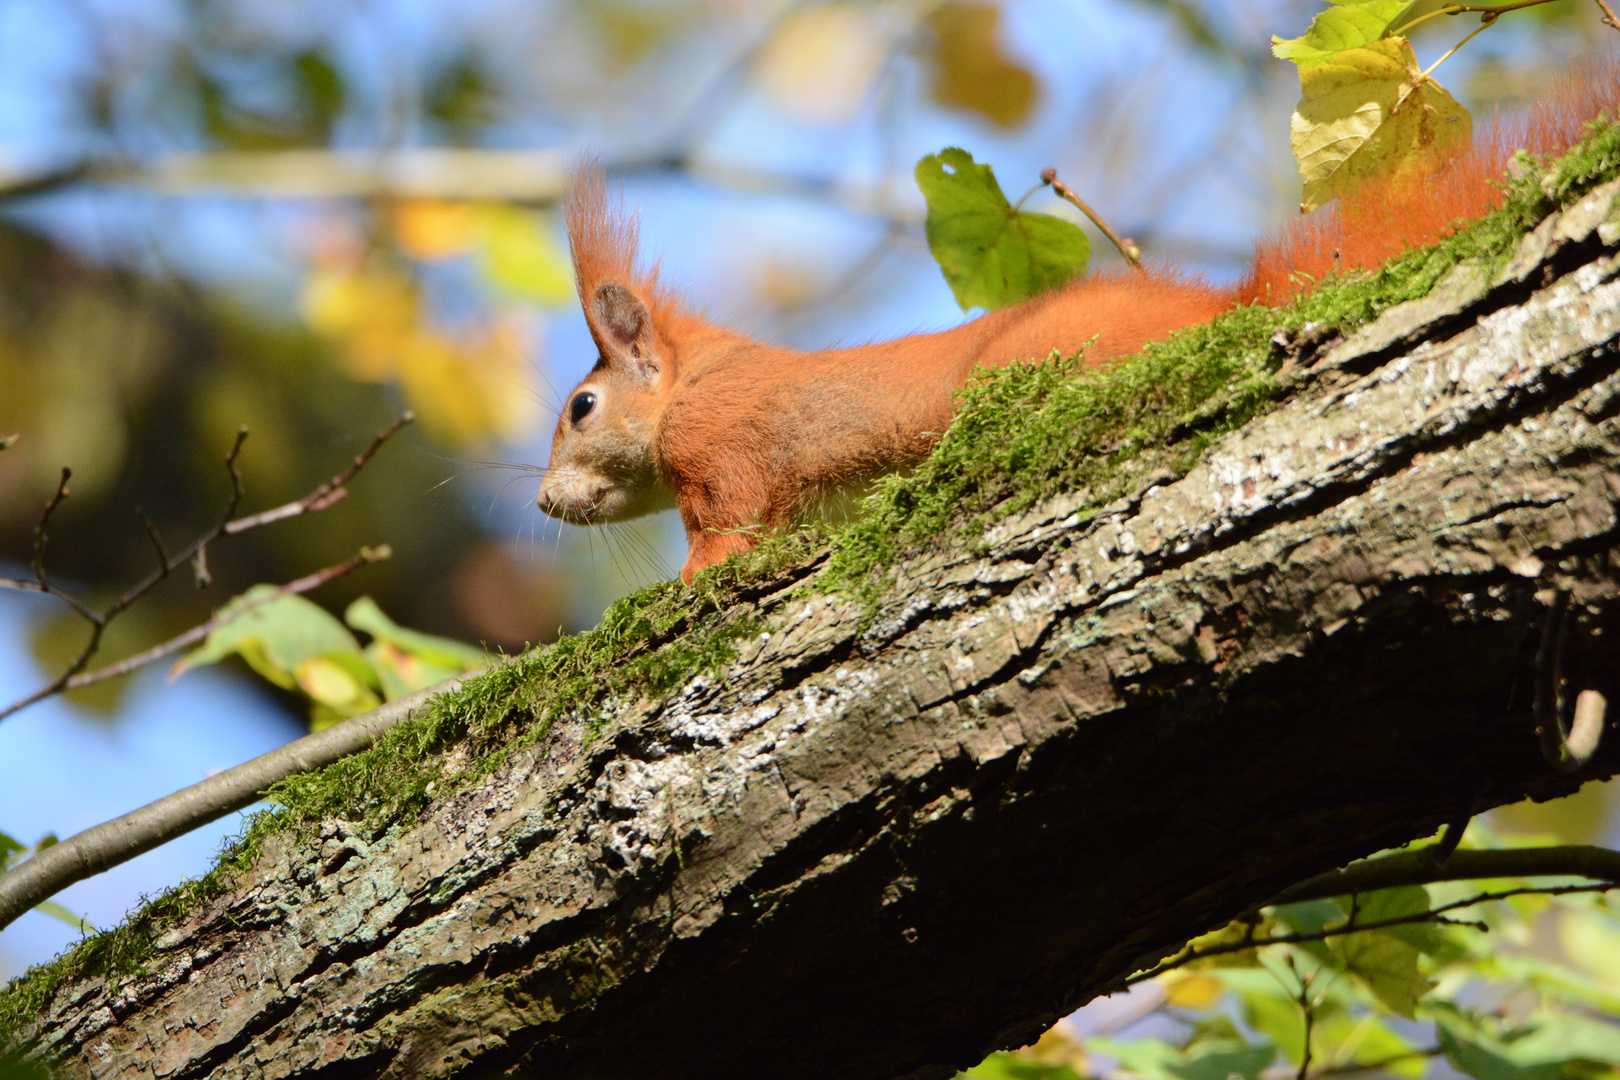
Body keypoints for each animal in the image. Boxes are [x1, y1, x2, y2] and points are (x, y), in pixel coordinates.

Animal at [537, 71, 1613, 586]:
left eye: (583, 406)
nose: (545, 503)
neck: (695, 380)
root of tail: (1222, 311)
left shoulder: (722, 450)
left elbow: (725, 532)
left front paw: (681, 586)